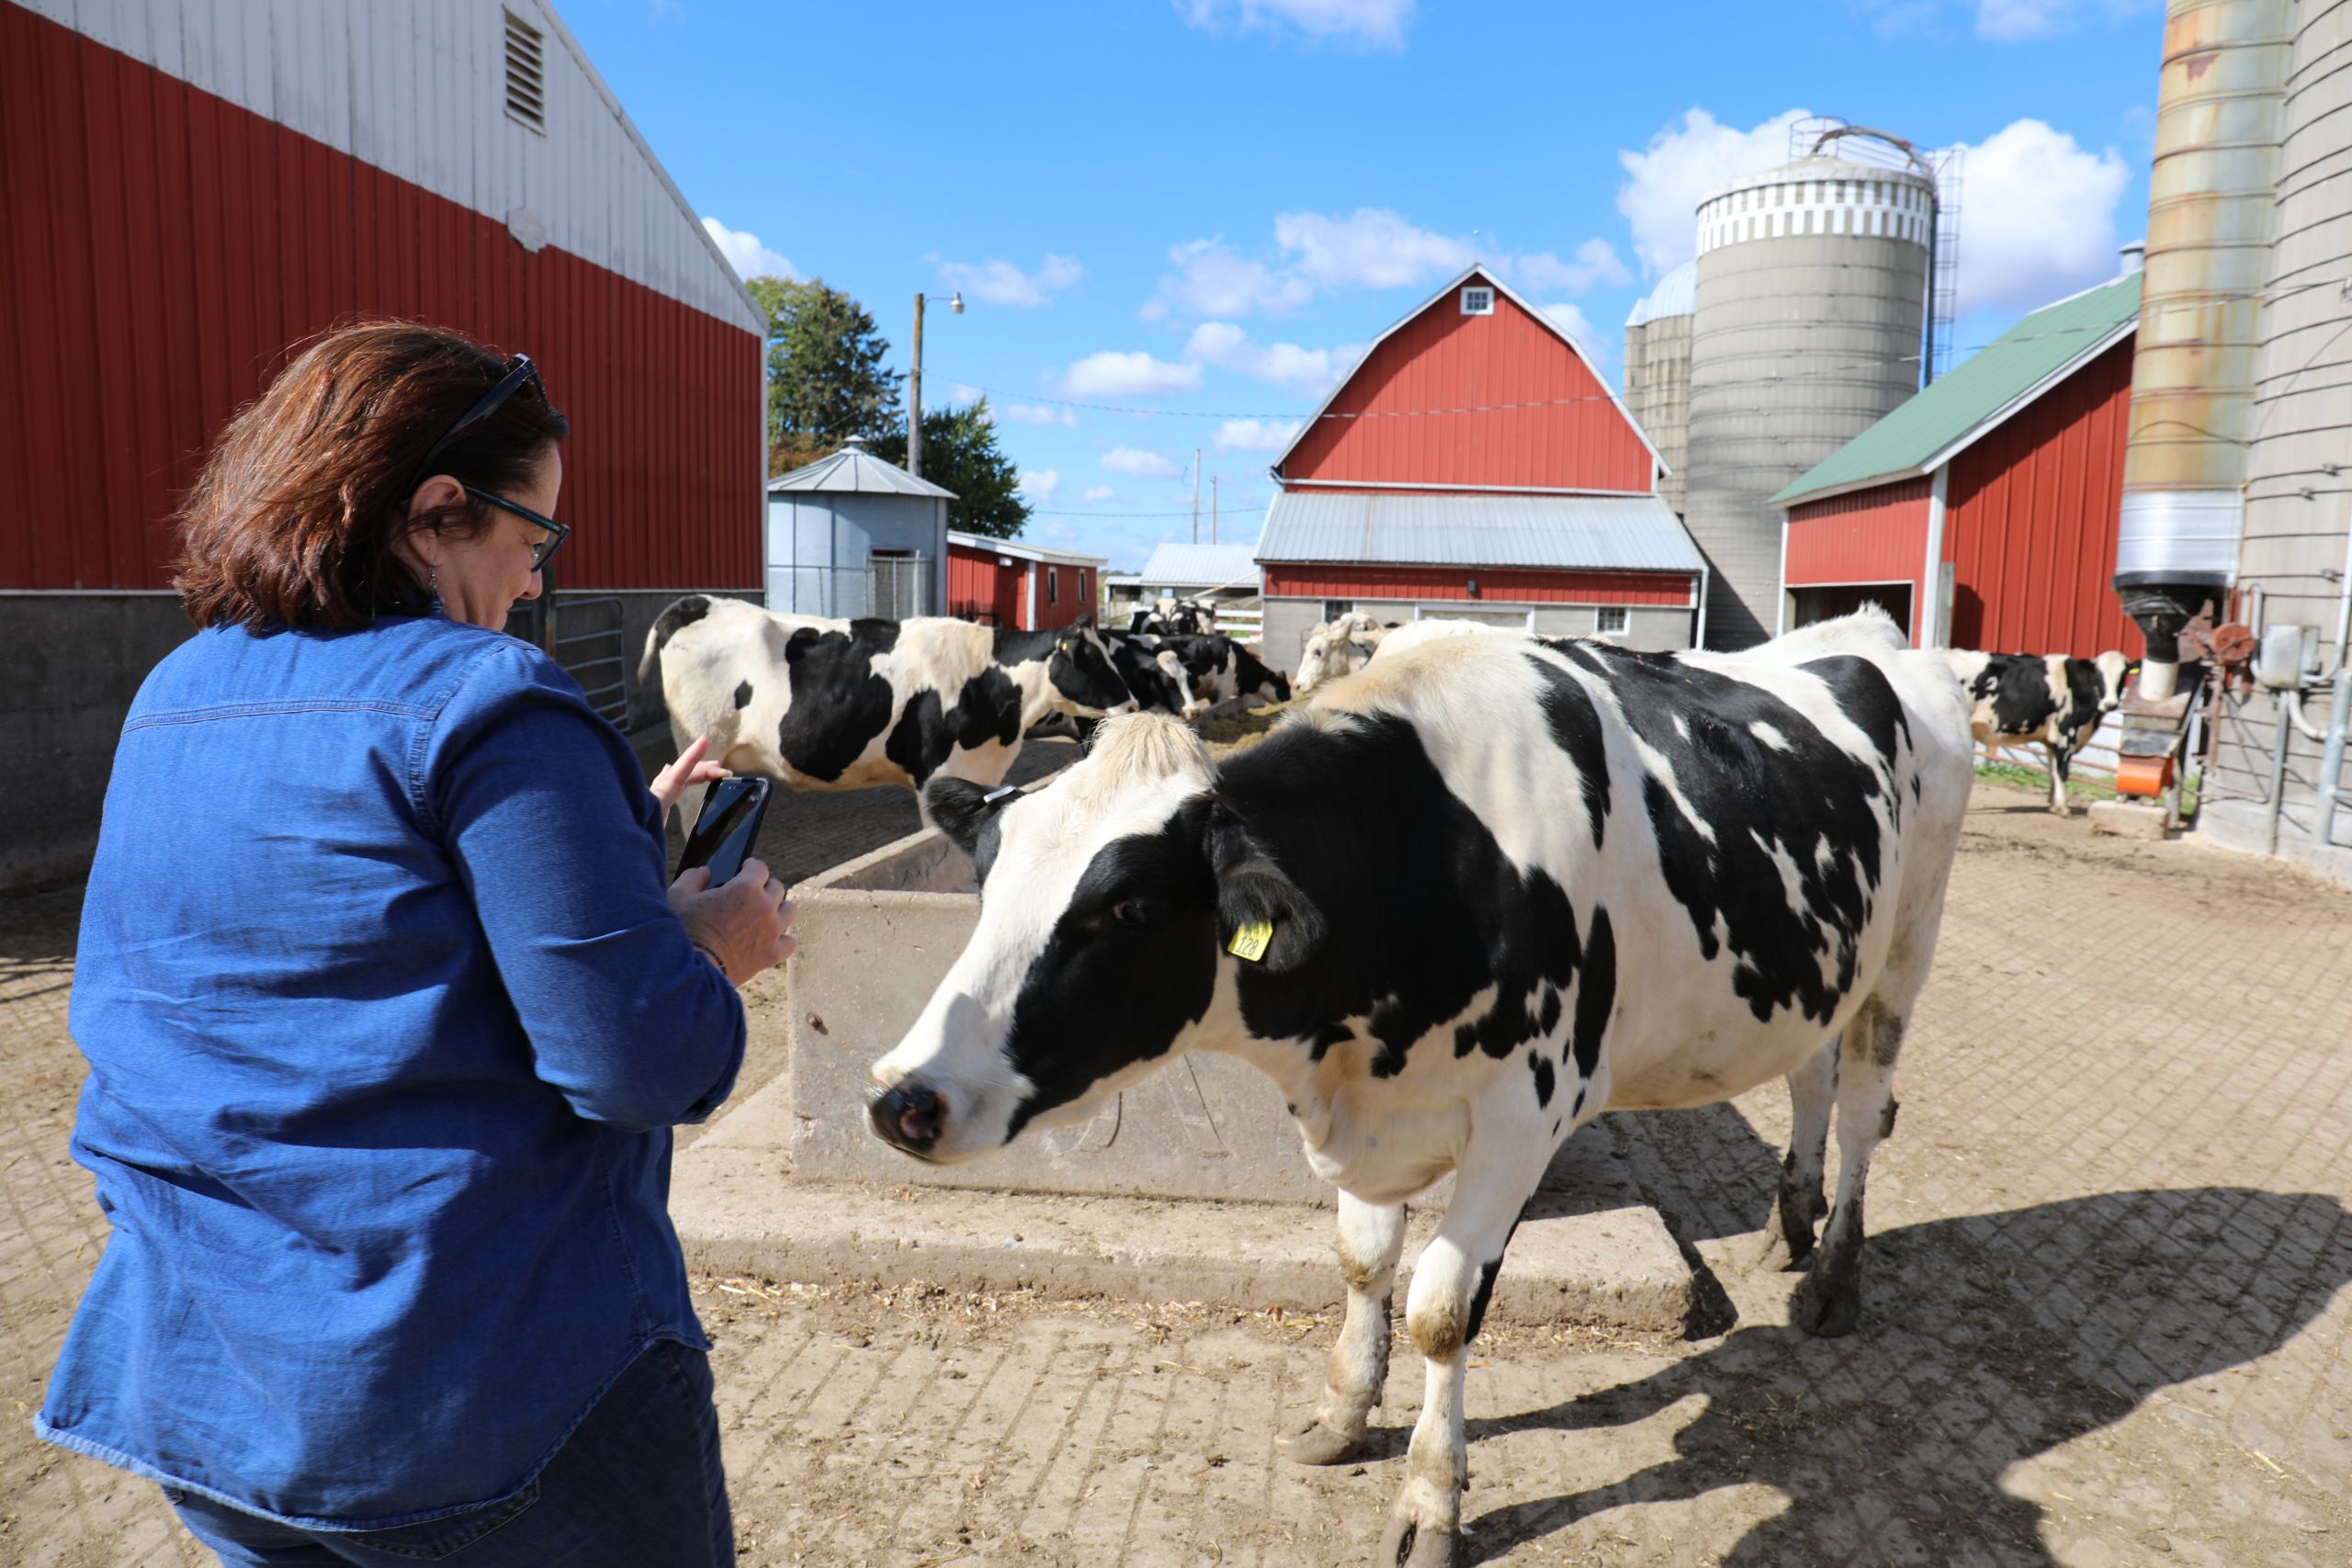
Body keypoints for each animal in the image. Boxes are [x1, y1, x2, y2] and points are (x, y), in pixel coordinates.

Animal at [635, 594, 1128, 818]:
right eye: (1089, 657)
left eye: (1111, 654)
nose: (1132, 701)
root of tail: (698, 602)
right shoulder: (938, 774)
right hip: (704, 742)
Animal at [865, 615, 1966, 1568]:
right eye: (985, 881)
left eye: (1128, 906)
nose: (899, 1098)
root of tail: (1866, 633)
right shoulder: (1366, 1113)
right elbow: (1361, 1261)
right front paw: (1343, 1415)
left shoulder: (1524, 1116)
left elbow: (1440, 1308)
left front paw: (1430, 1501)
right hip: (1824, 967)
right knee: (1810, 1079)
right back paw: (1786, 1225)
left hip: (1905, 948)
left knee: (1863, 1111)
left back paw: (1832, 1277)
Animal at [1928, 649, 2135, 822]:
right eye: (2099, 675)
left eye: (2123, 675)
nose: (2111, 704)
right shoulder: (2066, 733)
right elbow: (2062, 771)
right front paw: (2063, 808)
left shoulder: (2051, 740)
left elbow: (2052, 770)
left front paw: (2053, 805)